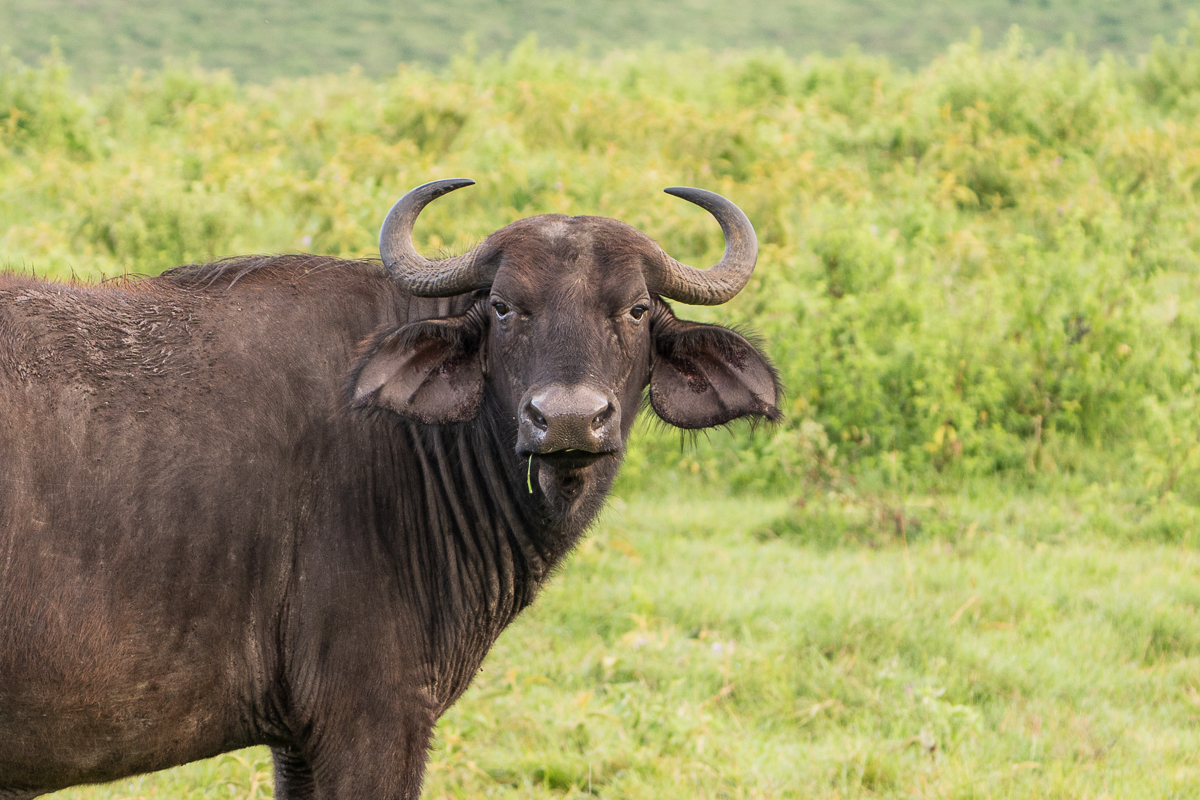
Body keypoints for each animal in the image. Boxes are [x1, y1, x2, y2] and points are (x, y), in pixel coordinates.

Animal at [0, 179, 779, 798]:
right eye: (504, 307)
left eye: (638, 309)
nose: (566, 418)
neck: (415, 443)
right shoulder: (373, 719)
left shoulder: (297, 741)